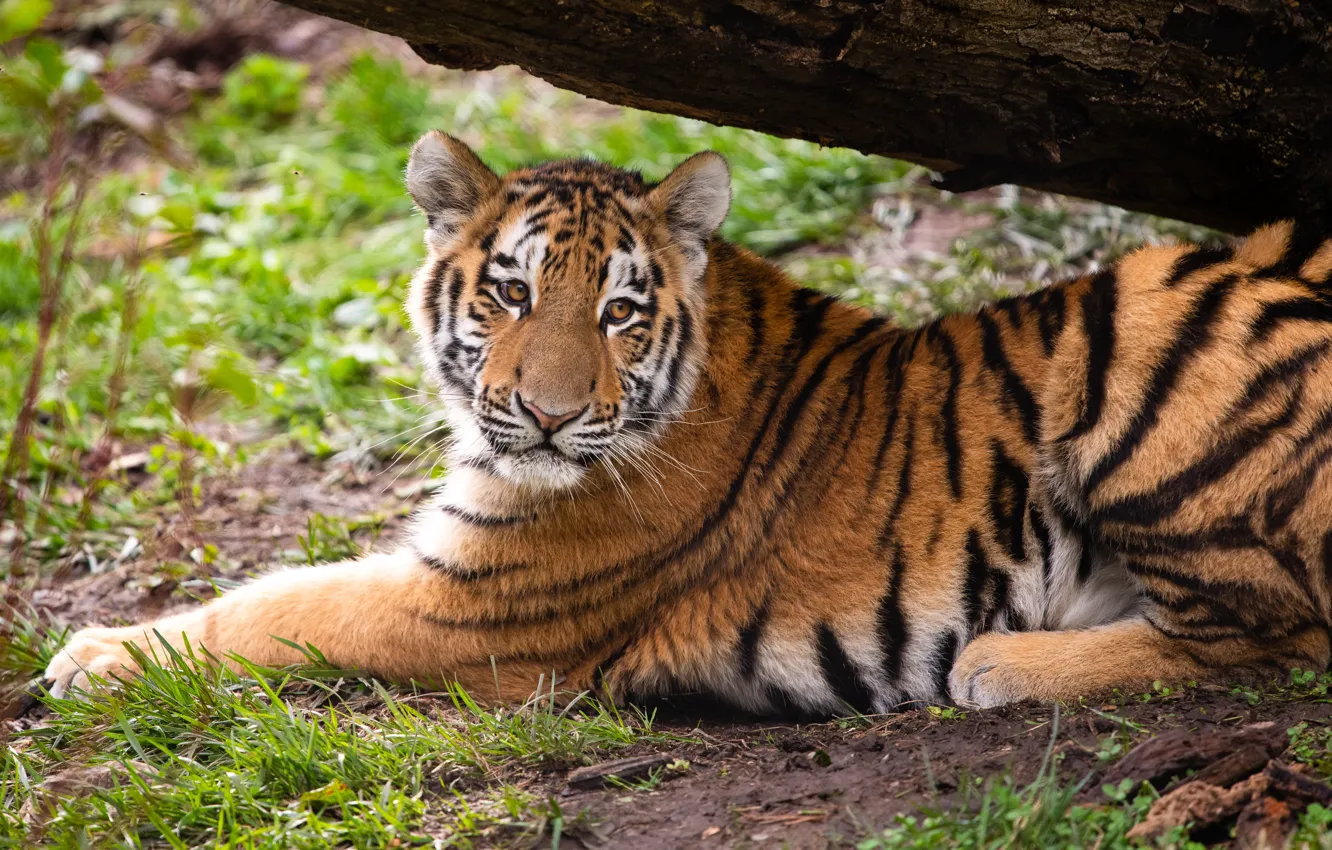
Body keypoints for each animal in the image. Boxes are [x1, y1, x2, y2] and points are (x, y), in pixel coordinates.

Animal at [44, 131, 1332, 718]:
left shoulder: (473, 608)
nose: (548, 415)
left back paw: (1000, 662)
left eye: (618, 311)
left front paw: (94, 653)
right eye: (510, 292)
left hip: (1146, 329)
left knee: (1275, 637)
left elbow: (280, 605)